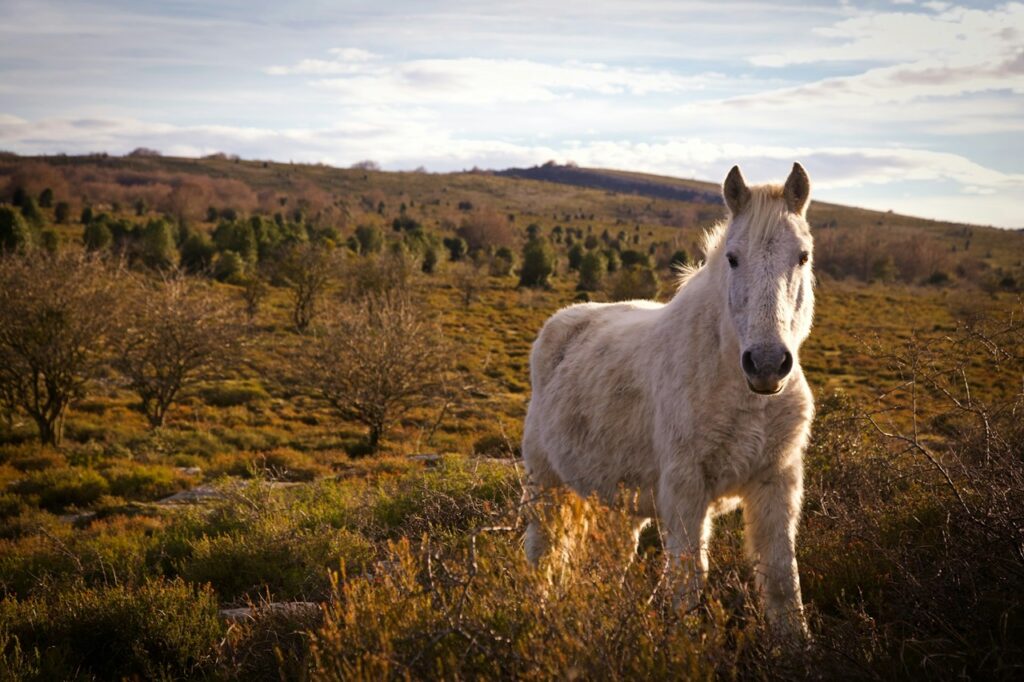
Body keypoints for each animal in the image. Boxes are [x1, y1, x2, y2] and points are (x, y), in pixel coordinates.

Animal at [521, 163, 815, 637]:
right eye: (733, 258)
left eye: (802, 256)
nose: (767, 364)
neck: (739, 391)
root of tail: (562, 322)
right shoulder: (686, 490)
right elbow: (688, 579)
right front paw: (685, 643)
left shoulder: (776, 484)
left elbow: (781, 582)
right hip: (545, 484)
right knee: (541, 552)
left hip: (621, 503)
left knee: (610, 563)